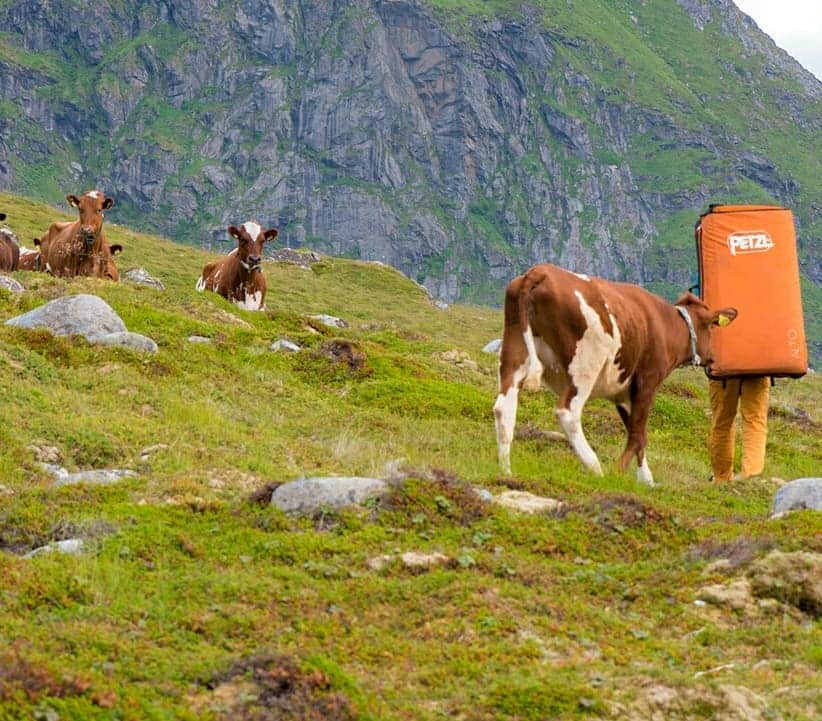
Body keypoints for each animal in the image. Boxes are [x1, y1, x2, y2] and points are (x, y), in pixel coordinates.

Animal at [496, 262, 740, 484]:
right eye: (712, 326)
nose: (713, 358)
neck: (667, 325)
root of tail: (540, 271)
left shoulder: (623, 390)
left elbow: (637, 433)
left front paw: (645, 478)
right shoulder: (647, 381)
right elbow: (637, 433)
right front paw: (620, 472)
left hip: (515, 351)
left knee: (503, 408)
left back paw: (506, 470)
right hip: (584, 365)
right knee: (568, 411)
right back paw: (594, 466)